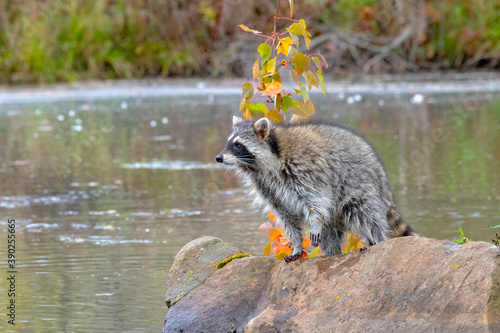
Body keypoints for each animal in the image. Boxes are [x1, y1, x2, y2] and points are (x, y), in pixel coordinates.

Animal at [215, 116, 414, 262]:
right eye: (228, 143)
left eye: (238, 145)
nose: (218, 157)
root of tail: (380, 172)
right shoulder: (269, 188)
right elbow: (287, 217)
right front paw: (296, 244)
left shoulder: (305, 170)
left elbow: (316, 200)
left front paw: (314, 222)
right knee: (330, 233)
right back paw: (332, 253)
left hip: (360, 185)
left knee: (366, 215)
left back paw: (377, 241)